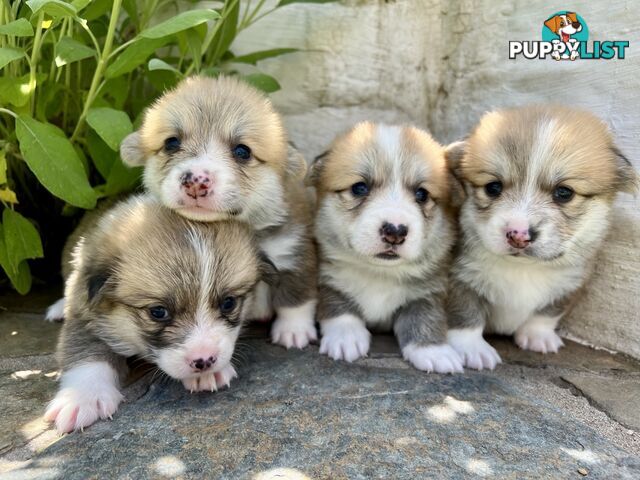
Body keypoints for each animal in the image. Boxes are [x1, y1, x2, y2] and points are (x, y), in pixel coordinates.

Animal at [43, 193, 274, 434]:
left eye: (229, 303)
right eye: (158, 312)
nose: (204, 361)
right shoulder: (83, 313)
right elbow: (85, 351)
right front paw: (83, 397)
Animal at [117, 77, 318, 350]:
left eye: (242, 151)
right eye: (171, 143)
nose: (195, 181)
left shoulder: (294, 250)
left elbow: (296, 296)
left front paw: (294, 332)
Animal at [308, 122, 462, 374]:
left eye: (422, 194)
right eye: (359, 188)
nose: (395, 232)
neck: (379, 272)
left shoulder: (428, 292)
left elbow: (425, 317)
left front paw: (434, 351)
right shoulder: (328, 278)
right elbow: (338, 304)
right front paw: (346, 337)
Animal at [448, 105, 636, 370]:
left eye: (564, 192)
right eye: (493, 187)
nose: (518, 235)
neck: (523, 268)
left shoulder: (572, 283)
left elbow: (547, 312)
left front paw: (538, 336)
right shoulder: (458, 278)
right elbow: (465, 313)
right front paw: (472, 349)